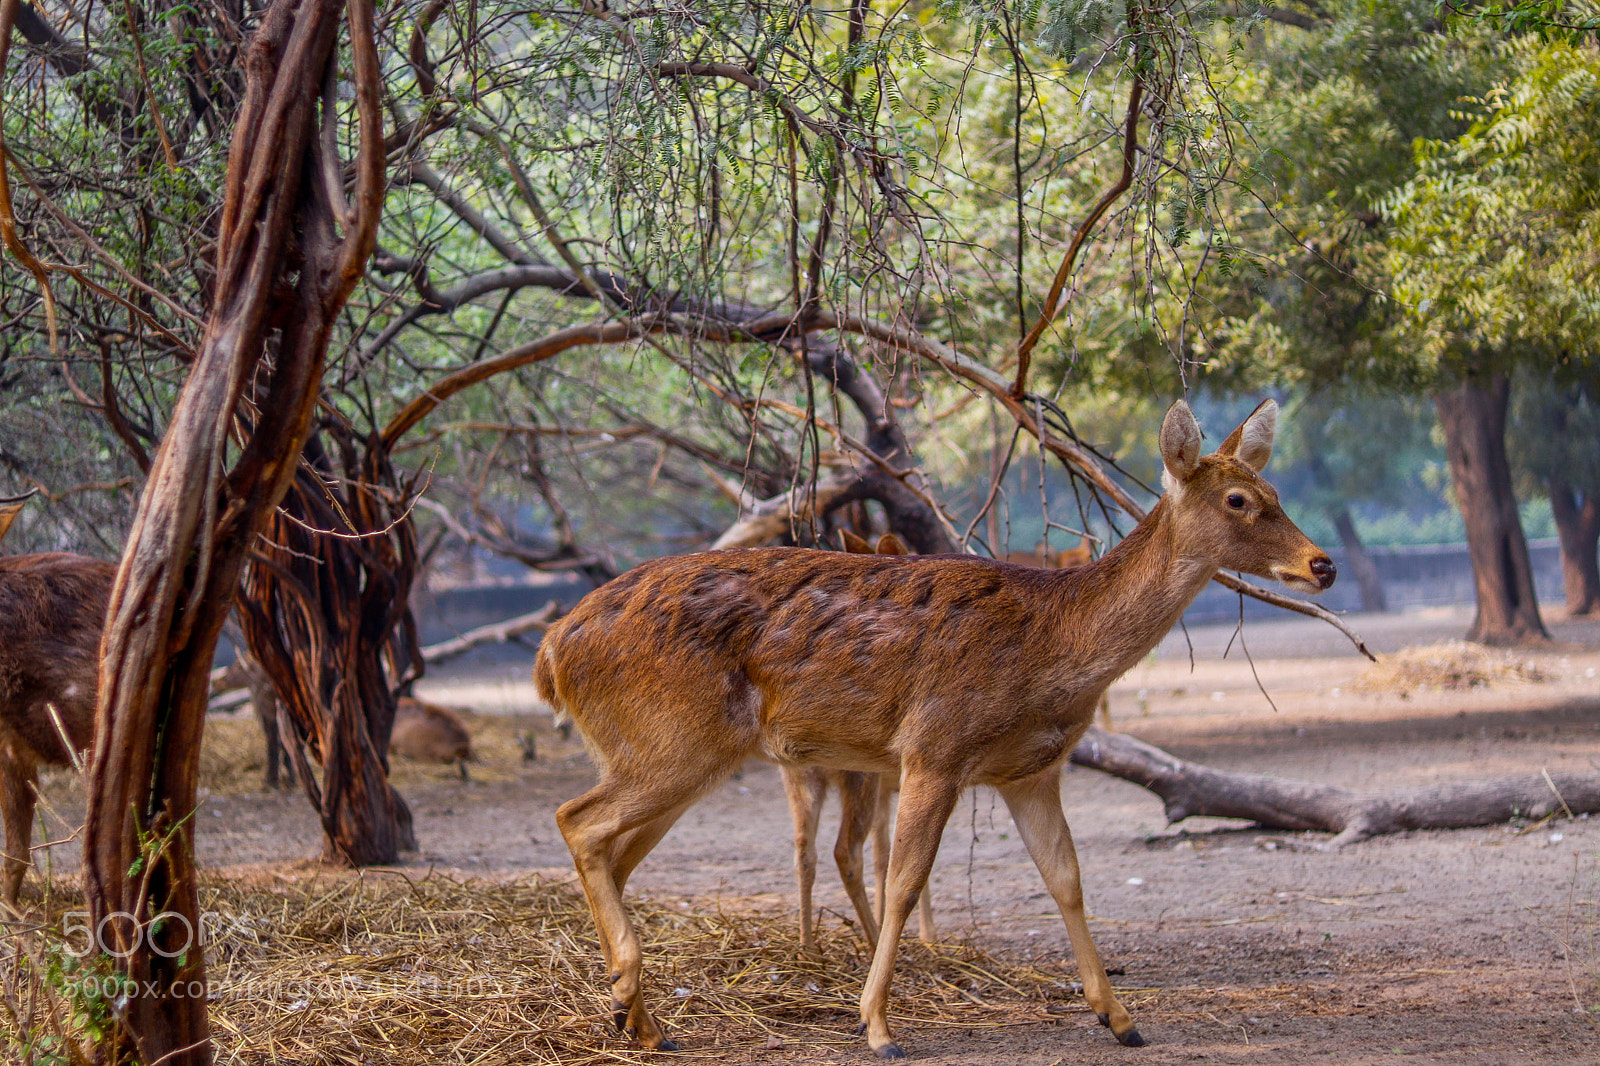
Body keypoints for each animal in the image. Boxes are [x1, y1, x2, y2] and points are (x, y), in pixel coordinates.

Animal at [536, 399, 1335, 1057]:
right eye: (1239, 499)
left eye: (1275, 494)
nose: (1322, 564)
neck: (1053, 649)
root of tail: (553, 651)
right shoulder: (933, 748)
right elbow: (903, 880)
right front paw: (877, 1026)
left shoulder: (1029, 770)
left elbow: (1067, 879)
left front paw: (1121, 1019)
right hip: (670, 740)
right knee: (577, 819)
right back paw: (631, 996)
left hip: (670, 751)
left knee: (614, 852)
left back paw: (638, 1018)